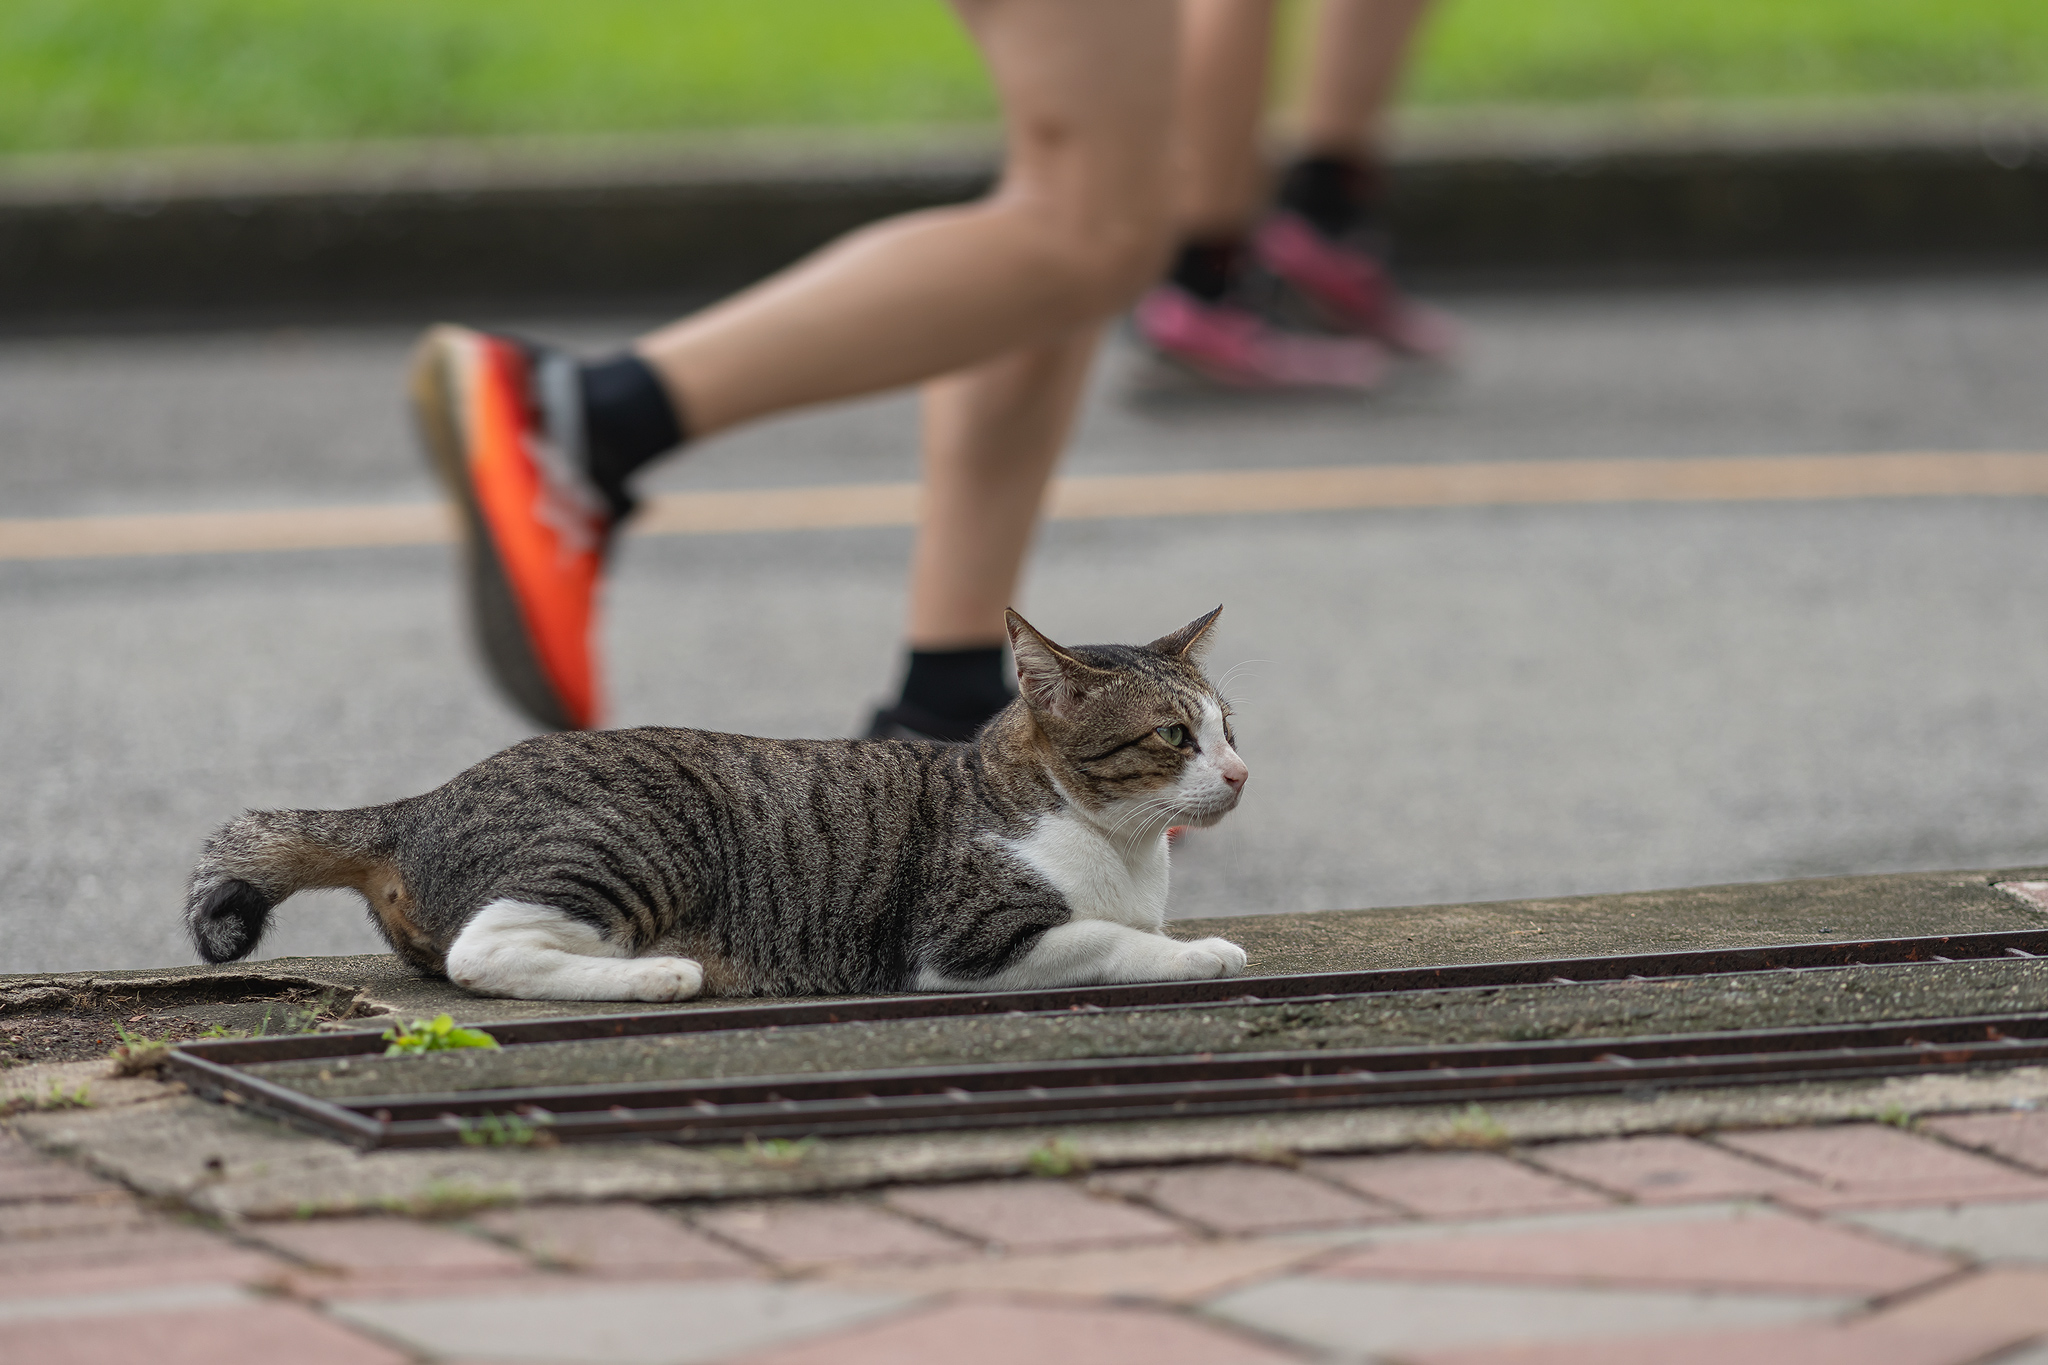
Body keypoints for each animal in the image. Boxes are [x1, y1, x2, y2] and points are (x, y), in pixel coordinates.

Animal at [183, 608, 1250, 1002]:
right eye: (1173, 737)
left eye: (1230, 726)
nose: (1241, 775)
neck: (1125, 848)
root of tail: (419, 801)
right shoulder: (966, 940)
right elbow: (1115, 939)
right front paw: (1200, 951)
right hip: (633, 843)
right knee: (479, 954)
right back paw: (658, 975)